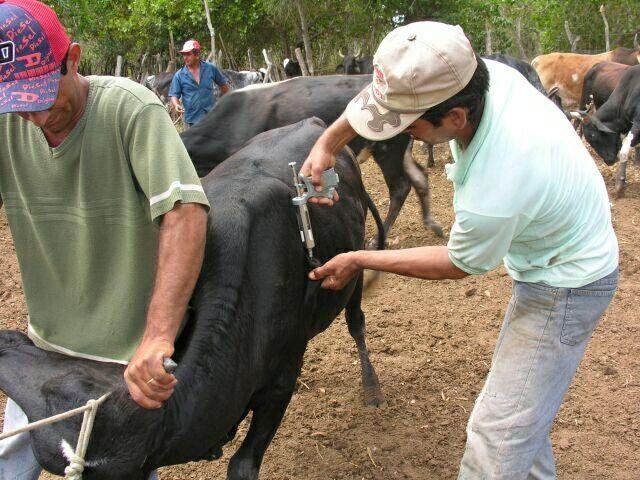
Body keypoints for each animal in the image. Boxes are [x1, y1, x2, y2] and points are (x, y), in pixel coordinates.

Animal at [0, 119, 384, 480]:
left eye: (81, 380)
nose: (6, 341)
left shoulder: (280, 381)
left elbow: (243, 465)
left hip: (352, 266)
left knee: (356, 320)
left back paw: (372, 387)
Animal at [181, 74, 444, 242]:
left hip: (388, 148)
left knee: (400, 186)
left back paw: (380, 238)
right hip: (403, 149)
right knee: (420, 177)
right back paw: (433, 225)